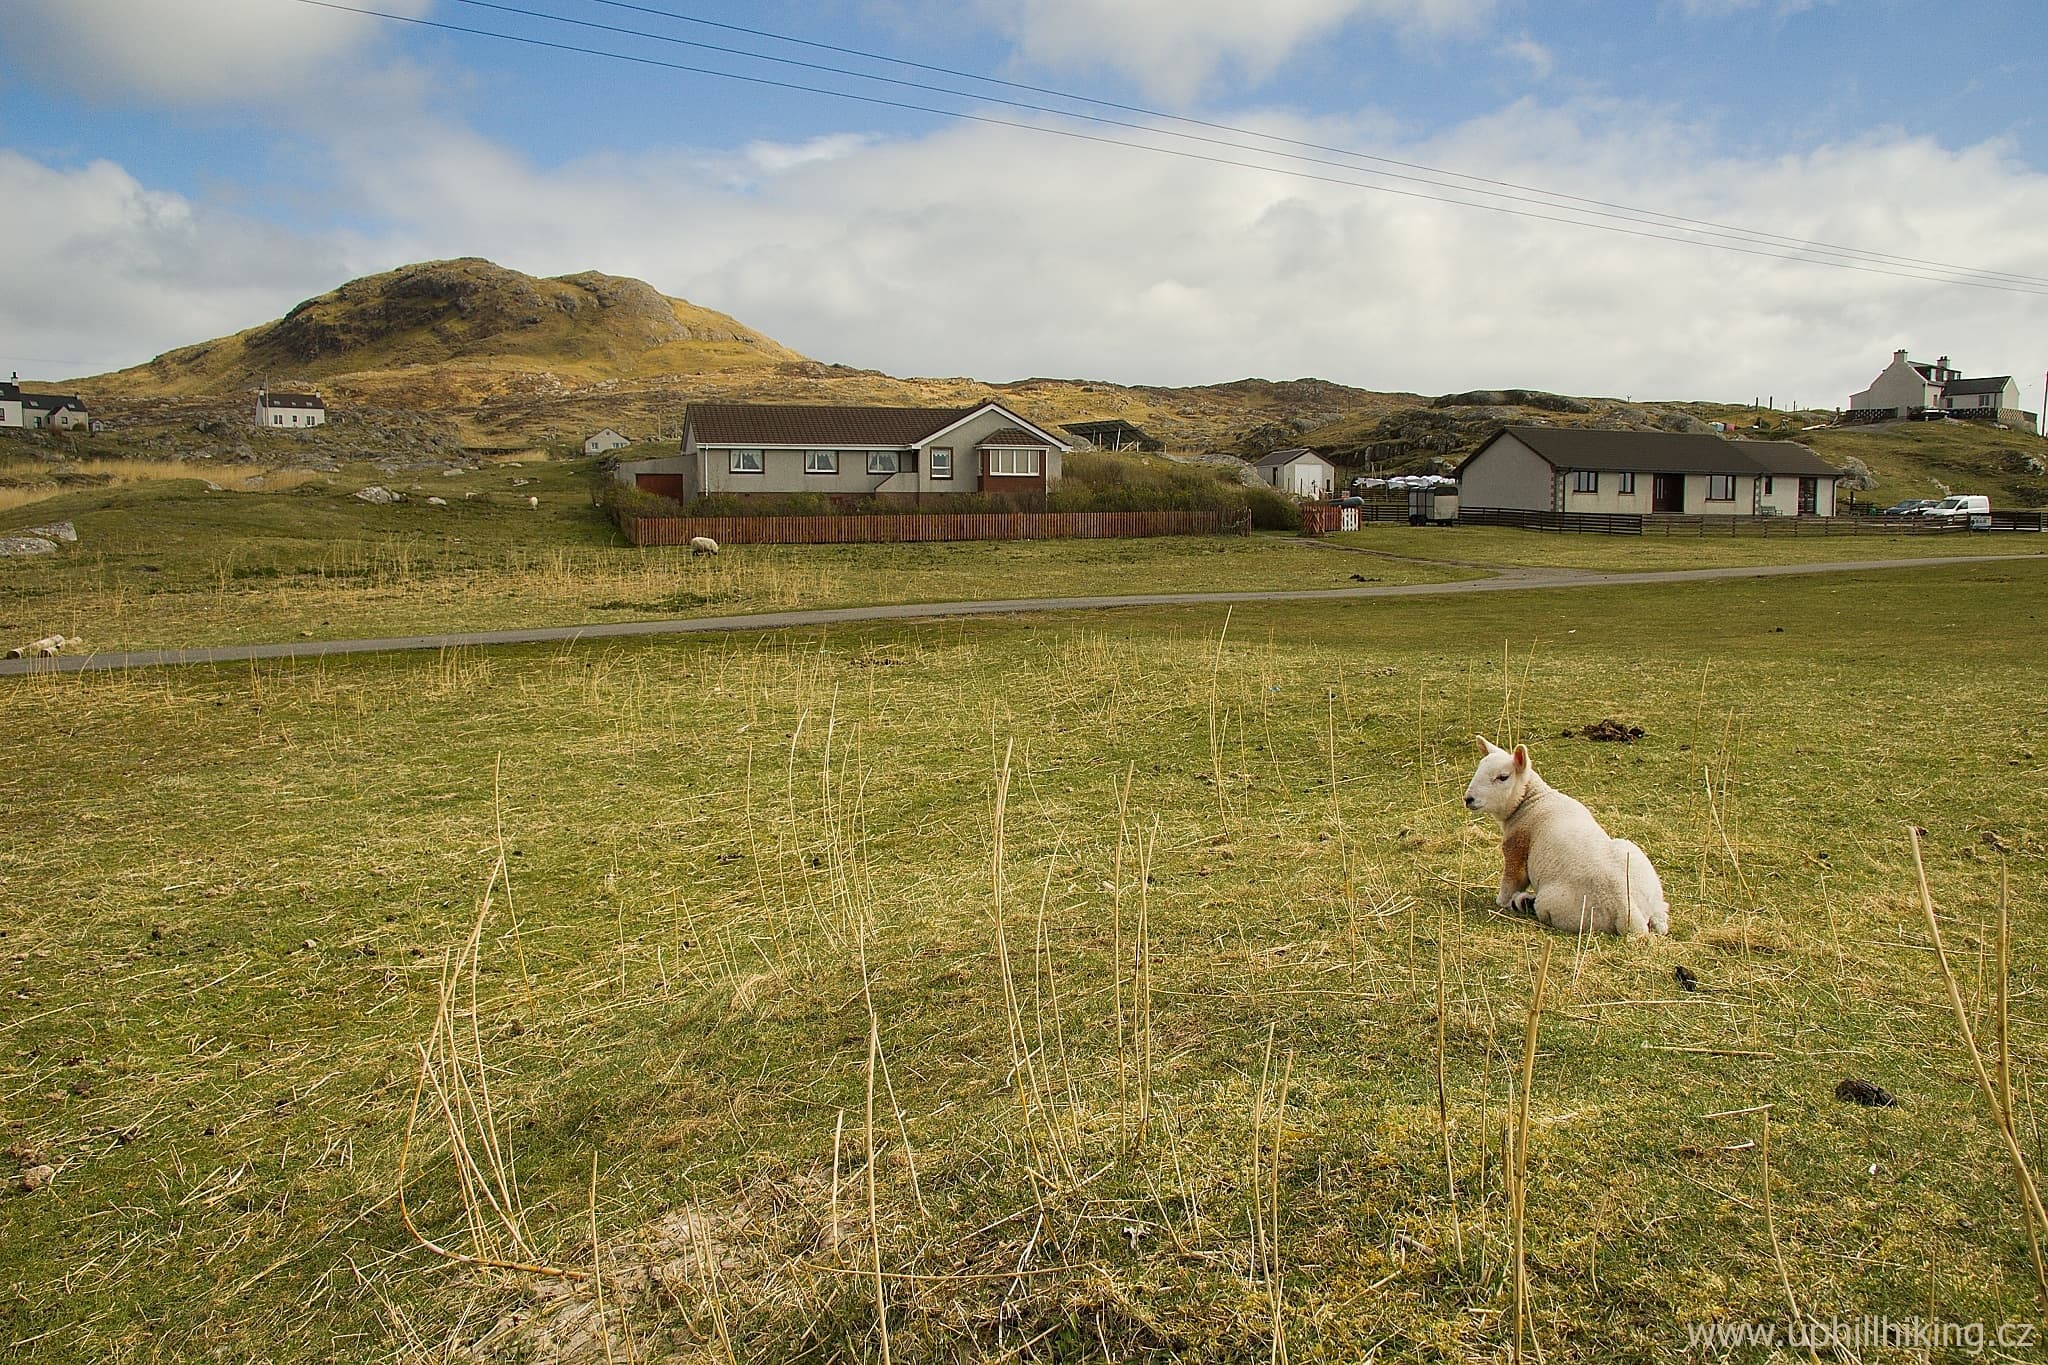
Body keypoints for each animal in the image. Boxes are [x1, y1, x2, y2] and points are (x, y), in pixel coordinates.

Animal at [1458, 736, 1662, 941]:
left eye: (1503, 777)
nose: (1468, 799)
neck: (1532, 800)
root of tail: (1628, 911)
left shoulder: (1516, 847)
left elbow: (1511, 882)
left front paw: (1502, 901)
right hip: (1635, 857)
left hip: (1553, 904)